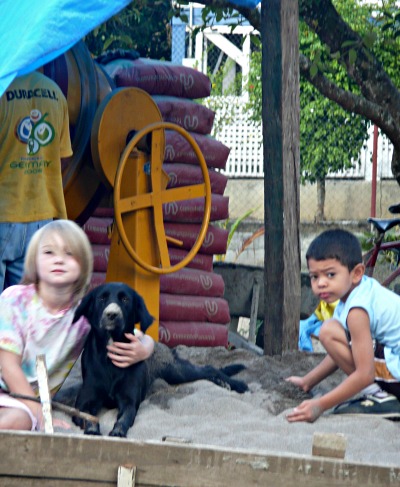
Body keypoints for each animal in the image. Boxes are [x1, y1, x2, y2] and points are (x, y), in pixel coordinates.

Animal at [72, 282, 247, 438]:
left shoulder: (129, 401)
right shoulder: (85, 401)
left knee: (209, 369)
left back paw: (236, 384)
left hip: (176, 371)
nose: (112, 315)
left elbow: (124, 419)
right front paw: (93, 430)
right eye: (102, 298)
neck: (110, 357)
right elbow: (89, 417)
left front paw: (118, 432)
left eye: (125, 299)